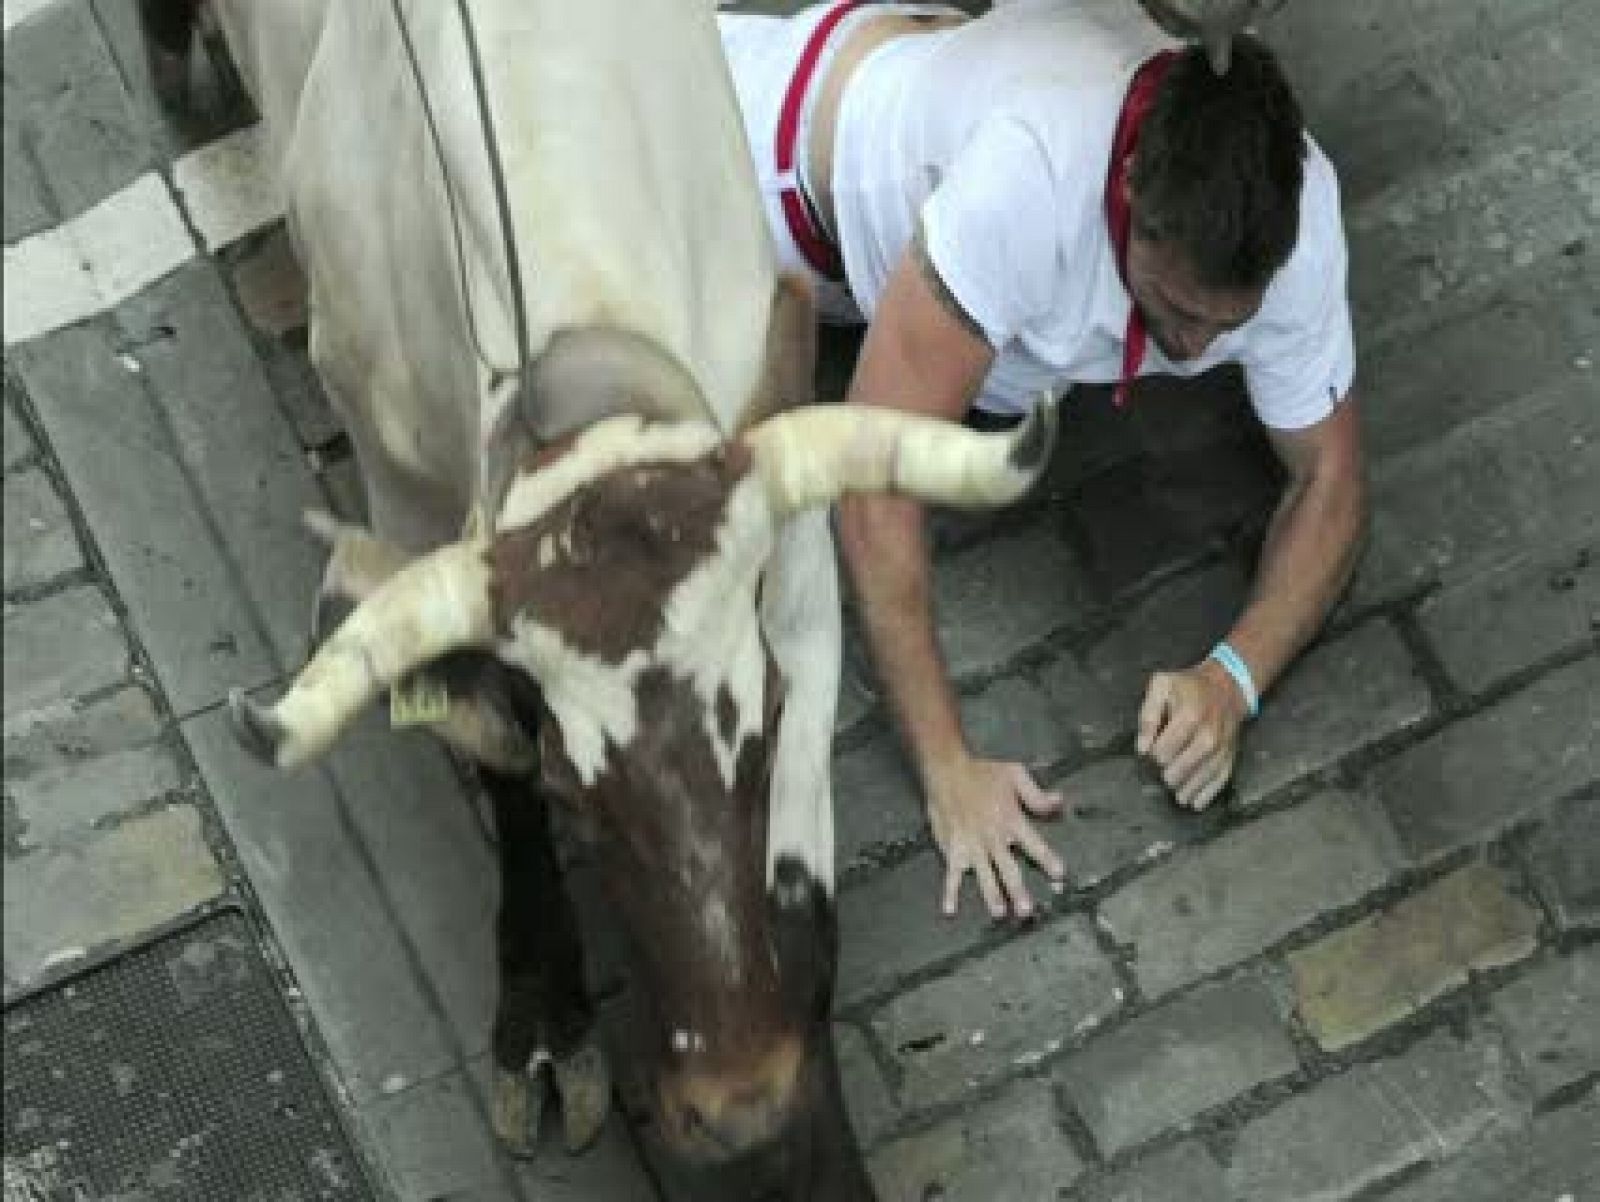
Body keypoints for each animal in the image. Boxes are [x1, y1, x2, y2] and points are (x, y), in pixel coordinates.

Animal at [144, 0, 1056, 1197]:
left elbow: (800, 886)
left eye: (763, 729)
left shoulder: (791, 554)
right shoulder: (404, 493)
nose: (737, 1103)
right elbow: (496, 766)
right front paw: (543, 1025)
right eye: (574, 792)